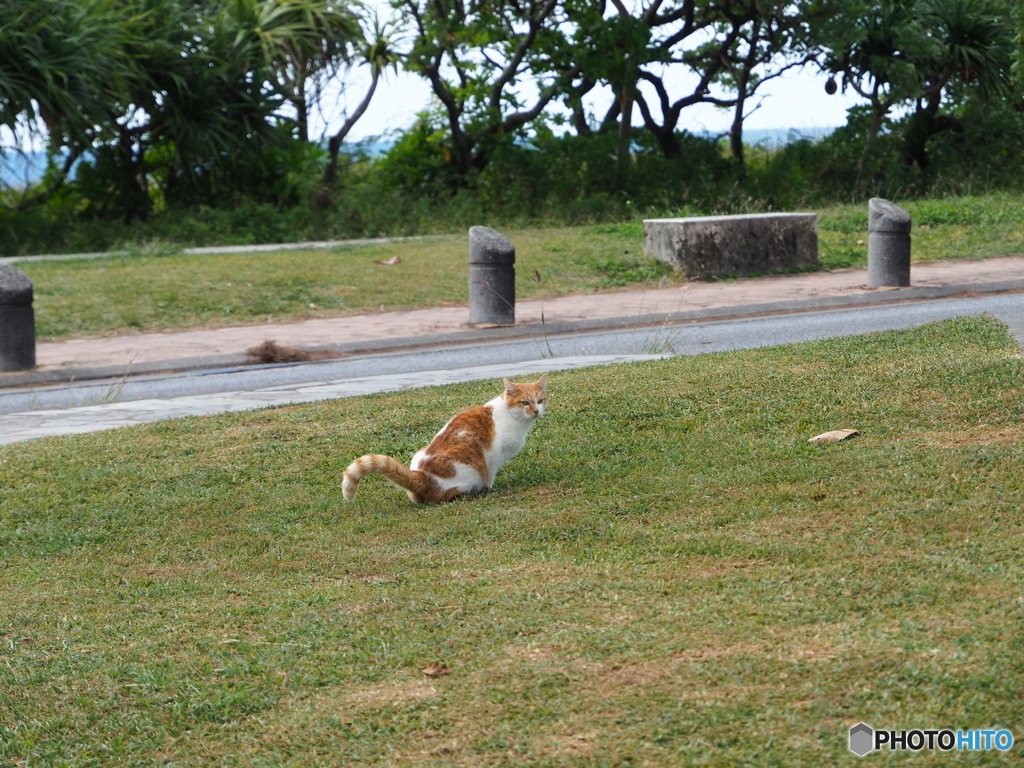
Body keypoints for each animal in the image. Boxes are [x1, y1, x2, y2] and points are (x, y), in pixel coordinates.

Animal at [344, 374, 548, 505]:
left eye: (540, 401)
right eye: (525, 403)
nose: (536, 411)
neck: (511, 416)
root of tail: (422, 476)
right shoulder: (492, 457)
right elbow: (489, 476)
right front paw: (489, 488)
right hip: (469, 470)